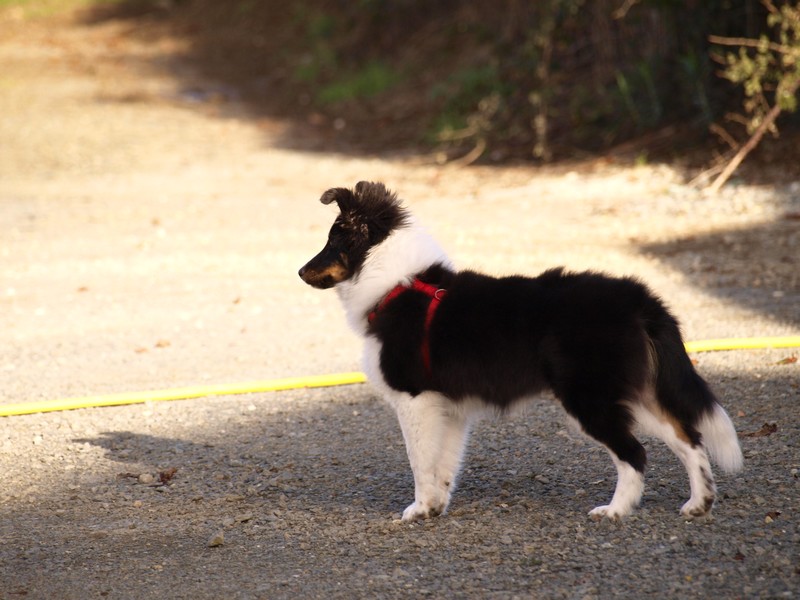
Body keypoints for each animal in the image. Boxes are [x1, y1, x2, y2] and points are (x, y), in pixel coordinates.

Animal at [300, 179, 744, 520]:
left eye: (332, 241)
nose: (301, 272)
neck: (395, 282)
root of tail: (639, 299)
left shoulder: (416, 399)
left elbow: (420, 461)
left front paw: (418, 510)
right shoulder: (450, 407)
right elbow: (444, 463)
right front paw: (435, 508)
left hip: (590, 397)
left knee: (635, 454)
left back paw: (615, 511)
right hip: (634, 392)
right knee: (688, 437)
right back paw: (699, 503)